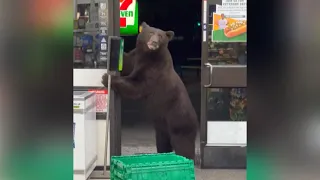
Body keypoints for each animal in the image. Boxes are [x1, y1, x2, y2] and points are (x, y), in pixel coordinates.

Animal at [101, 21, 199, 160]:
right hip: (162, 129)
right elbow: (127, 62)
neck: (149, 55)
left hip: (180, 121)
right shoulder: (136, 57)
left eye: (161, 36)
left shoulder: (154, 71)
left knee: (183, 145)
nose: (154, 42)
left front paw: (107, 78)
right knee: (163, 144)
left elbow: (137, 85)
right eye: (151, 33)